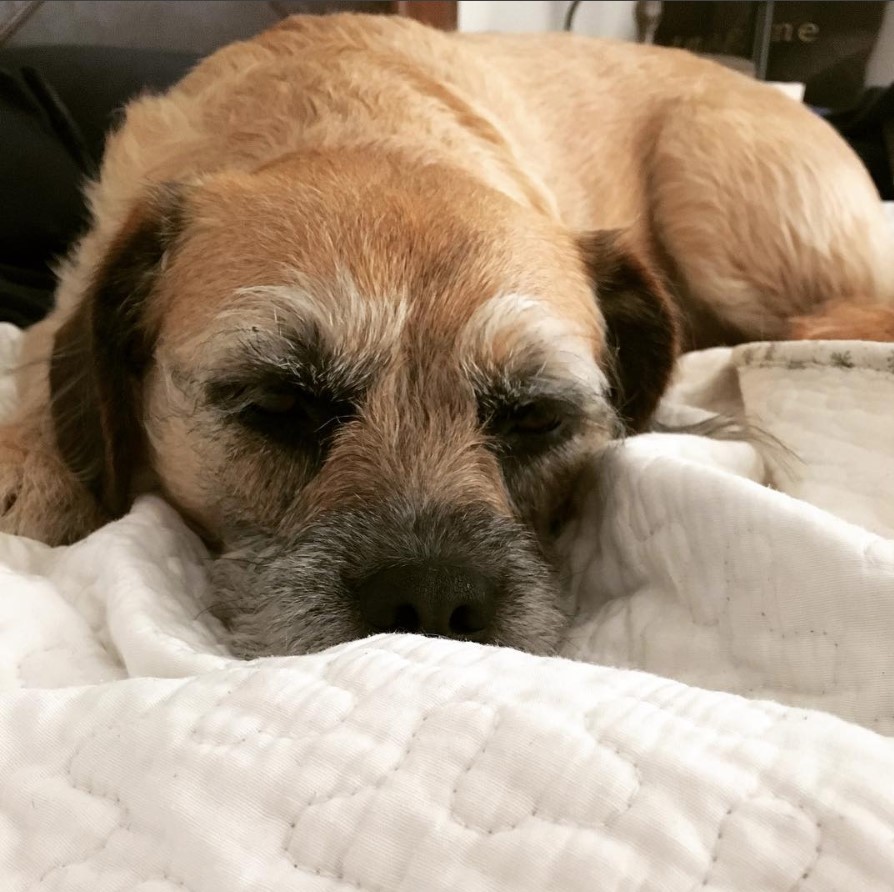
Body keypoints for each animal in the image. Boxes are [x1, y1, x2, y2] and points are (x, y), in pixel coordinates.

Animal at [1, 12, 894, 656]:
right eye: (280, 403)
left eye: (536, 417)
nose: (431, 599)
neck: (358, 124)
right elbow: (41, 357)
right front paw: (31, 459)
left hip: (713, 192)